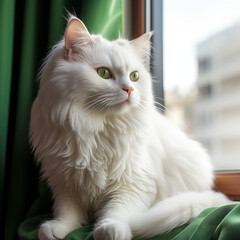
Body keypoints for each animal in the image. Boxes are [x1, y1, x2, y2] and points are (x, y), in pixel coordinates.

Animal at [30, 15, 231, 239]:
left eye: (134, 76)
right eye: (103, 73)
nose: (129, 89)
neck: (95, 129)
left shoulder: (133, 182)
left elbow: (118, 210)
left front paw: (110, 230)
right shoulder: (65, 182)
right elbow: (68, 212)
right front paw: (56, 229)